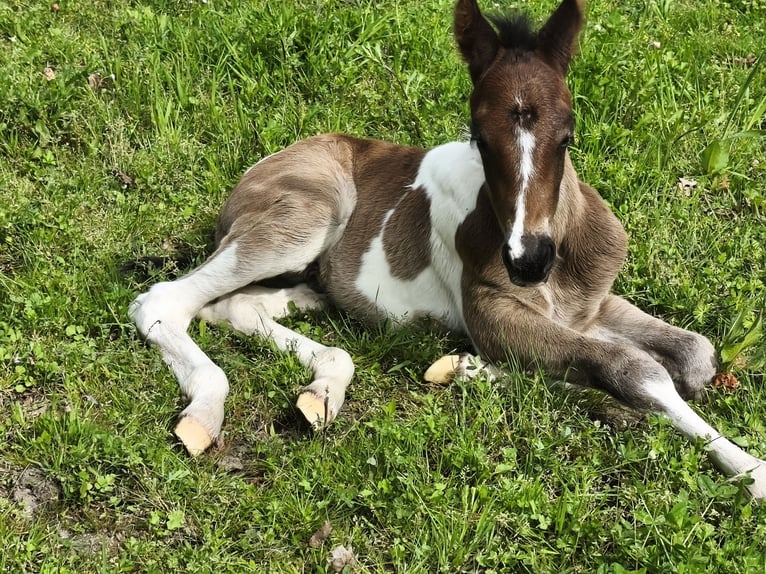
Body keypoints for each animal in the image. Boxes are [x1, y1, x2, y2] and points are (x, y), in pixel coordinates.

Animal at [129, 0, 766, 500]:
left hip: (304, 270)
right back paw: (204, 412)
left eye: (568, 133)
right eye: (478, 137)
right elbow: (631, 365)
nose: (528, 260)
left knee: (236, 307)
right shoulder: (493, 311)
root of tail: (265, 164)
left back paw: (323, 390)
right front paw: (752, 470)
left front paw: (469, 368)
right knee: (163, 301)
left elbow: (695, 354)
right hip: (306, 215)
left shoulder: (590, 307)